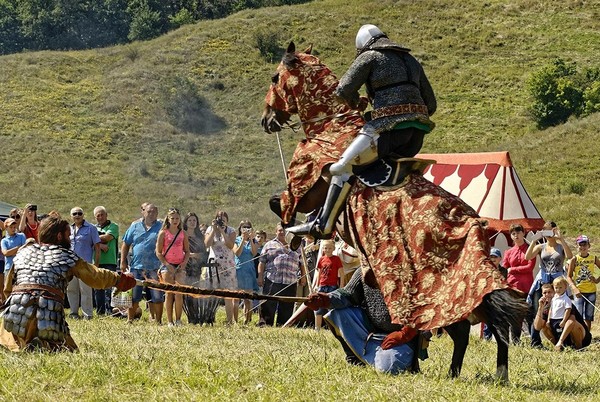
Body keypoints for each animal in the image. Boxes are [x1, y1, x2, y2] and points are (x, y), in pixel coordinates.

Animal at [260, 42, 528, 382]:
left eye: (275, 77)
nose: (267, 119)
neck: (329, 126)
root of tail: (473, 225)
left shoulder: (305, 189)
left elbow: (284, 204)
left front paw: (299, 232)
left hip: (440, 293)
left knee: (469, 329)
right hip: (470, 293)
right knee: (484, 325)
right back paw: (484, 373)